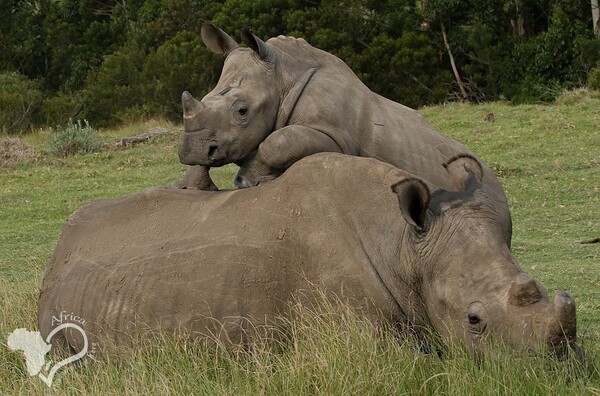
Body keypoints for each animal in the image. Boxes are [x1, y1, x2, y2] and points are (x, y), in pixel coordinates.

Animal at [177, 23, 510, 244]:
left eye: (242, 111)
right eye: (204, 97)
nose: (190, 149)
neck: (282, 77)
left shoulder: (335, 136)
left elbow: (277, 142)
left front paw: (248, 180)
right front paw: (192, 186)